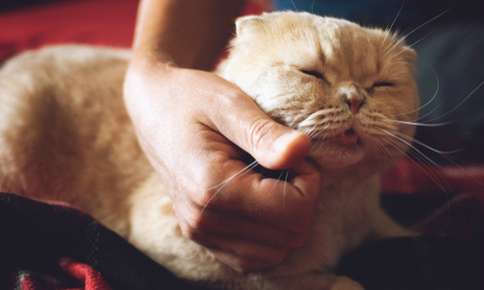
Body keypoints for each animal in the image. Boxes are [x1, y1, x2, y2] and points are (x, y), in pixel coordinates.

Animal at [0, 11, 418, 290]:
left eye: (382, 84)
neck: (337, 207)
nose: (354, 99)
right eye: (310, 73)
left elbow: (400, 233)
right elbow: (305, 281)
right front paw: (336, 279)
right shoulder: (184, 258)